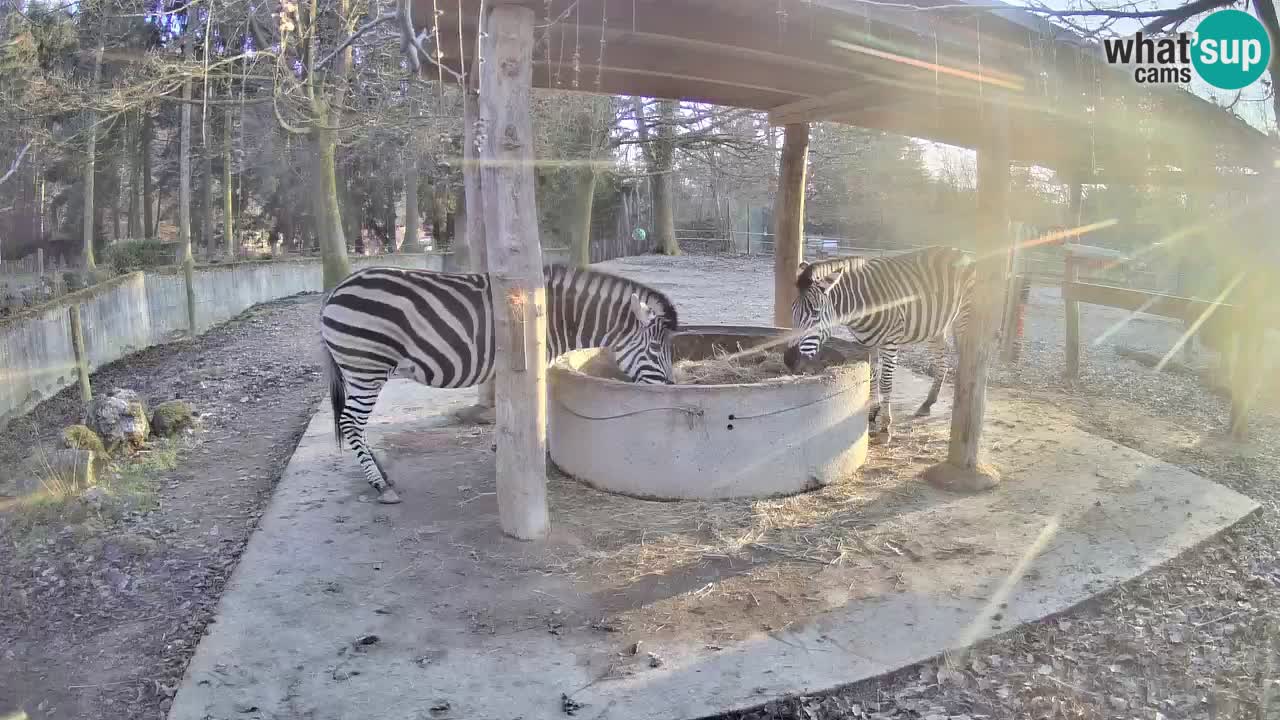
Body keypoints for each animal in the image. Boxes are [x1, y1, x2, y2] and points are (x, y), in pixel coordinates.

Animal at [320, 260, 680, 502]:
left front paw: (501, 445)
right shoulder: (536, 362)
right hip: (367, 366)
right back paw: (380, 485)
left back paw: (380, 471)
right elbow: (537, 410)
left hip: (359, 370)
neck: (556, 317)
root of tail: (336, 290)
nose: (671, 390)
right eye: (655, 348)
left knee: (353, 423)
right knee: (351, 422)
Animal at [778, 243, 977, 440]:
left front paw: (885, 426)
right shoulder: (868, 344)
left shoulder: (890, 343)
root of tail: (959, 251)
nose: (789, 360)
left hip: (963, 319)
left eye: (815, 313)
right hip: (935, 327)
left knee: (964, 359)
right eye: (793, 311)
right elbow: (872, 377)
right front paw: (872, 414)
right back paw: (927, 403)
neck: (860, 306)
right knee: (943, 361)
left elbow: (885, 382)